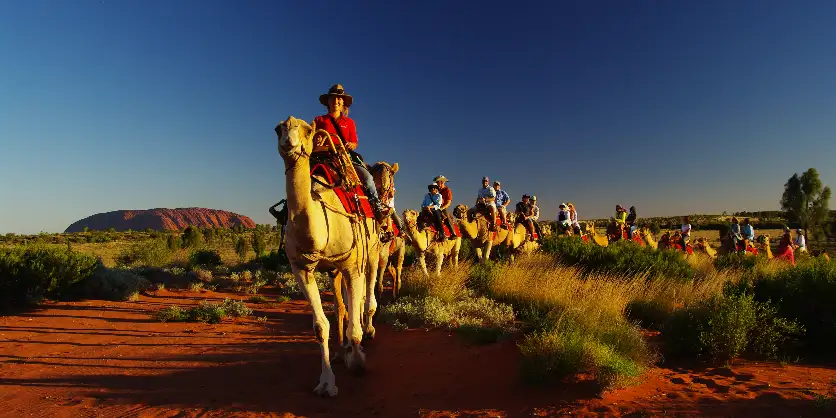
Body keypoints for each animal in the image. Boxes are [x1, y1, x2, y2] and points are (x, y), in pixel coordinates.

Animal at [278, 116, 388, 396]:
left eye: (307, 130)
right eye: (277, 128)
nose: (288, 141)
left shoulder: (352, 265)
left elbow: (355, 319)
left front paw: (357, 360)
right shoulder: (302, 268)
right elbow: (320, 326)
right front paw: (327, 383)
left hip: (372, 253)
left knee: (366, 297)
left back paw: (366, 334)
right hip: (335, 268)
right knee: (345, 305)